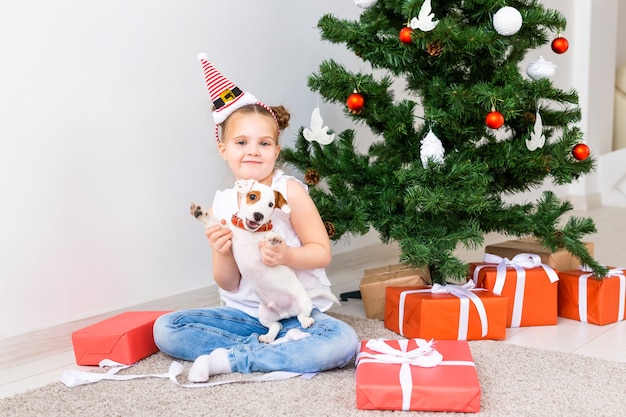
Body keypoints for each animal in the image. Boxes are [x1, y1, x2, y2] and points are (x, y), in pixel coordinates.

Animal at [189, 177, 336, 342]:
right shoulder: (227, 231)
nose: (258, 215)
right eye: (252, 196)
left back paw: (306, 322)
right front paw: (200, 213)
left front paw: (273, 239)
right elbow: (214, 222)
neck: (250, 233)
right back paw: (268, 337)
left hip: (303, 302)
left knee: (301, 315)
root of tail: (286, 312)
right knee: (277, 325)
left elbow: (271, 239)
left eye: (271, 204)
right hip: (263, 314)